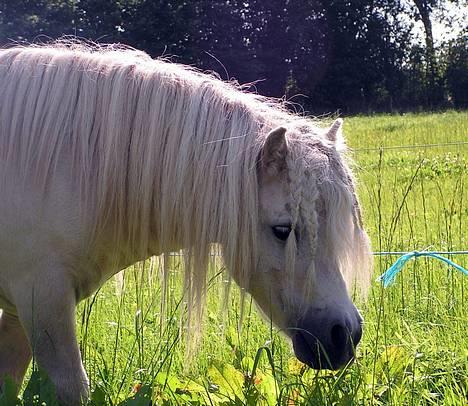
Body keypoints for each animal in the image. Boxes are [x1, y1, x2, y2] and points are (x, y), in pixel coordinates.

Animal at [0, 42, 372, 404]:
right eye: (283, 230)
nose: (345, 334)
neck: (59, 168)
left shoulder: (21, 312)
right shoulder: (42, 300)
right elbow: (72, 387)